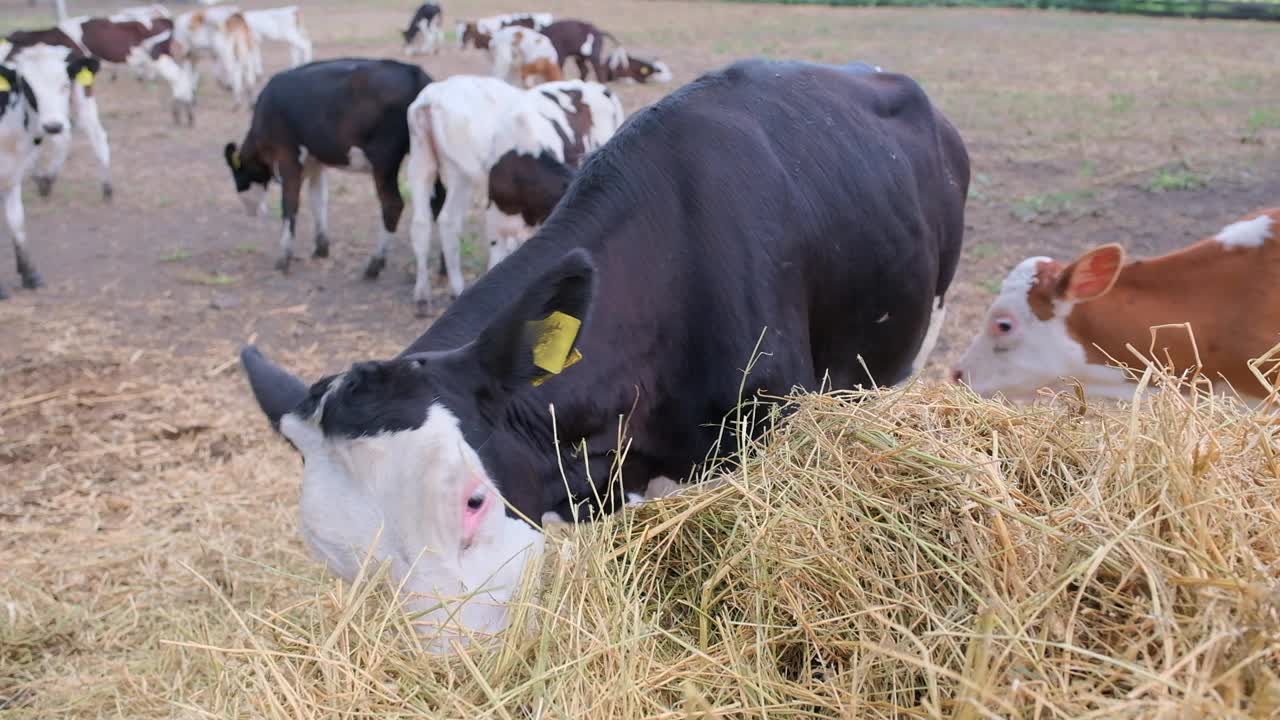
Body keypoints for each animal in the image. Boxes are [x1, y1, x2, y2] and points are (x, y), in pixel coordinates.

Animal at [0, 47, 102, 298]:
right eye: (27, 88)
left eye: (65, 84)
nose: (53, 126)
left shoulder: (12, 174)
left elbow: (16, 221)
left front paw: (30, 275)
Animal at [227, 58, 448, 274]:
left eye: (237, 175)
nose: (248, 209)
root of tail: (414, 72)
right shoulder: (316, 161)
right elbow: (318, 200)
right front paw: (321, 248)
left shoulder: (287, 156)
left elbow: (289, 205)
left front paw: (284, 257)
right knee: (441, 205)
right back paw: (444, 267)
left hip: (384, 158)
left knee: (393, 204)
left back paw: (375, 264)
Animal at [399, 75, 619, 313]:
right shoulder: (496, 225)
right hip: (457, 170)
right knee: (447, 220)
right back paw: (452, 289)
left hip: (422, 162)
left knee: (423, 224)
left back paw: (424, 294)